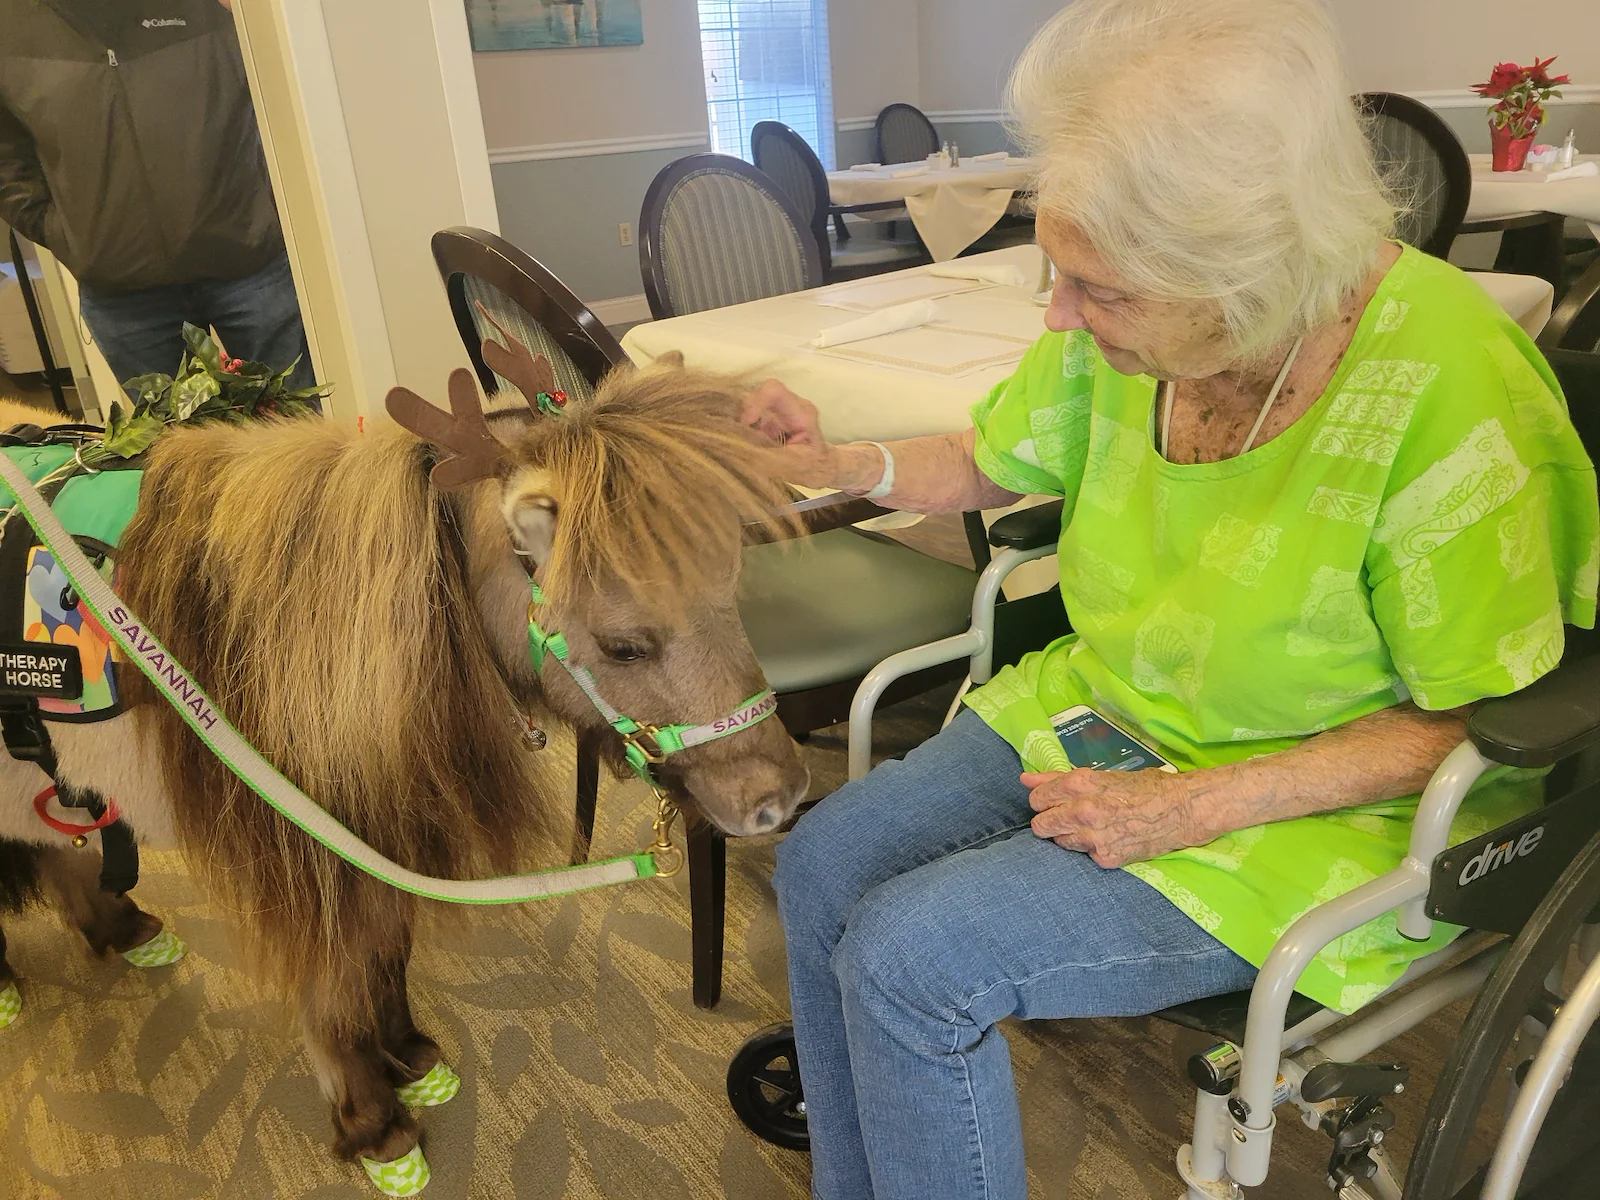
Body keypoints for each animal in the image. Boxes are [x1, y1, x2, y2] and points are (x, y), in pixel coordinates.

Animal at [0, 357, 808, 1170]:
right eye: (623, 646)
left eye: (729, 589)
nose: (779, 796)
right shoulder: (313, 871)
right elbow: (335, 996)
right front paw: (374, 1125)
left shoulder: (377, 841)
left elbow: (386, 958)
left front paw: (408, 1056)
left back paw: (117, 927)